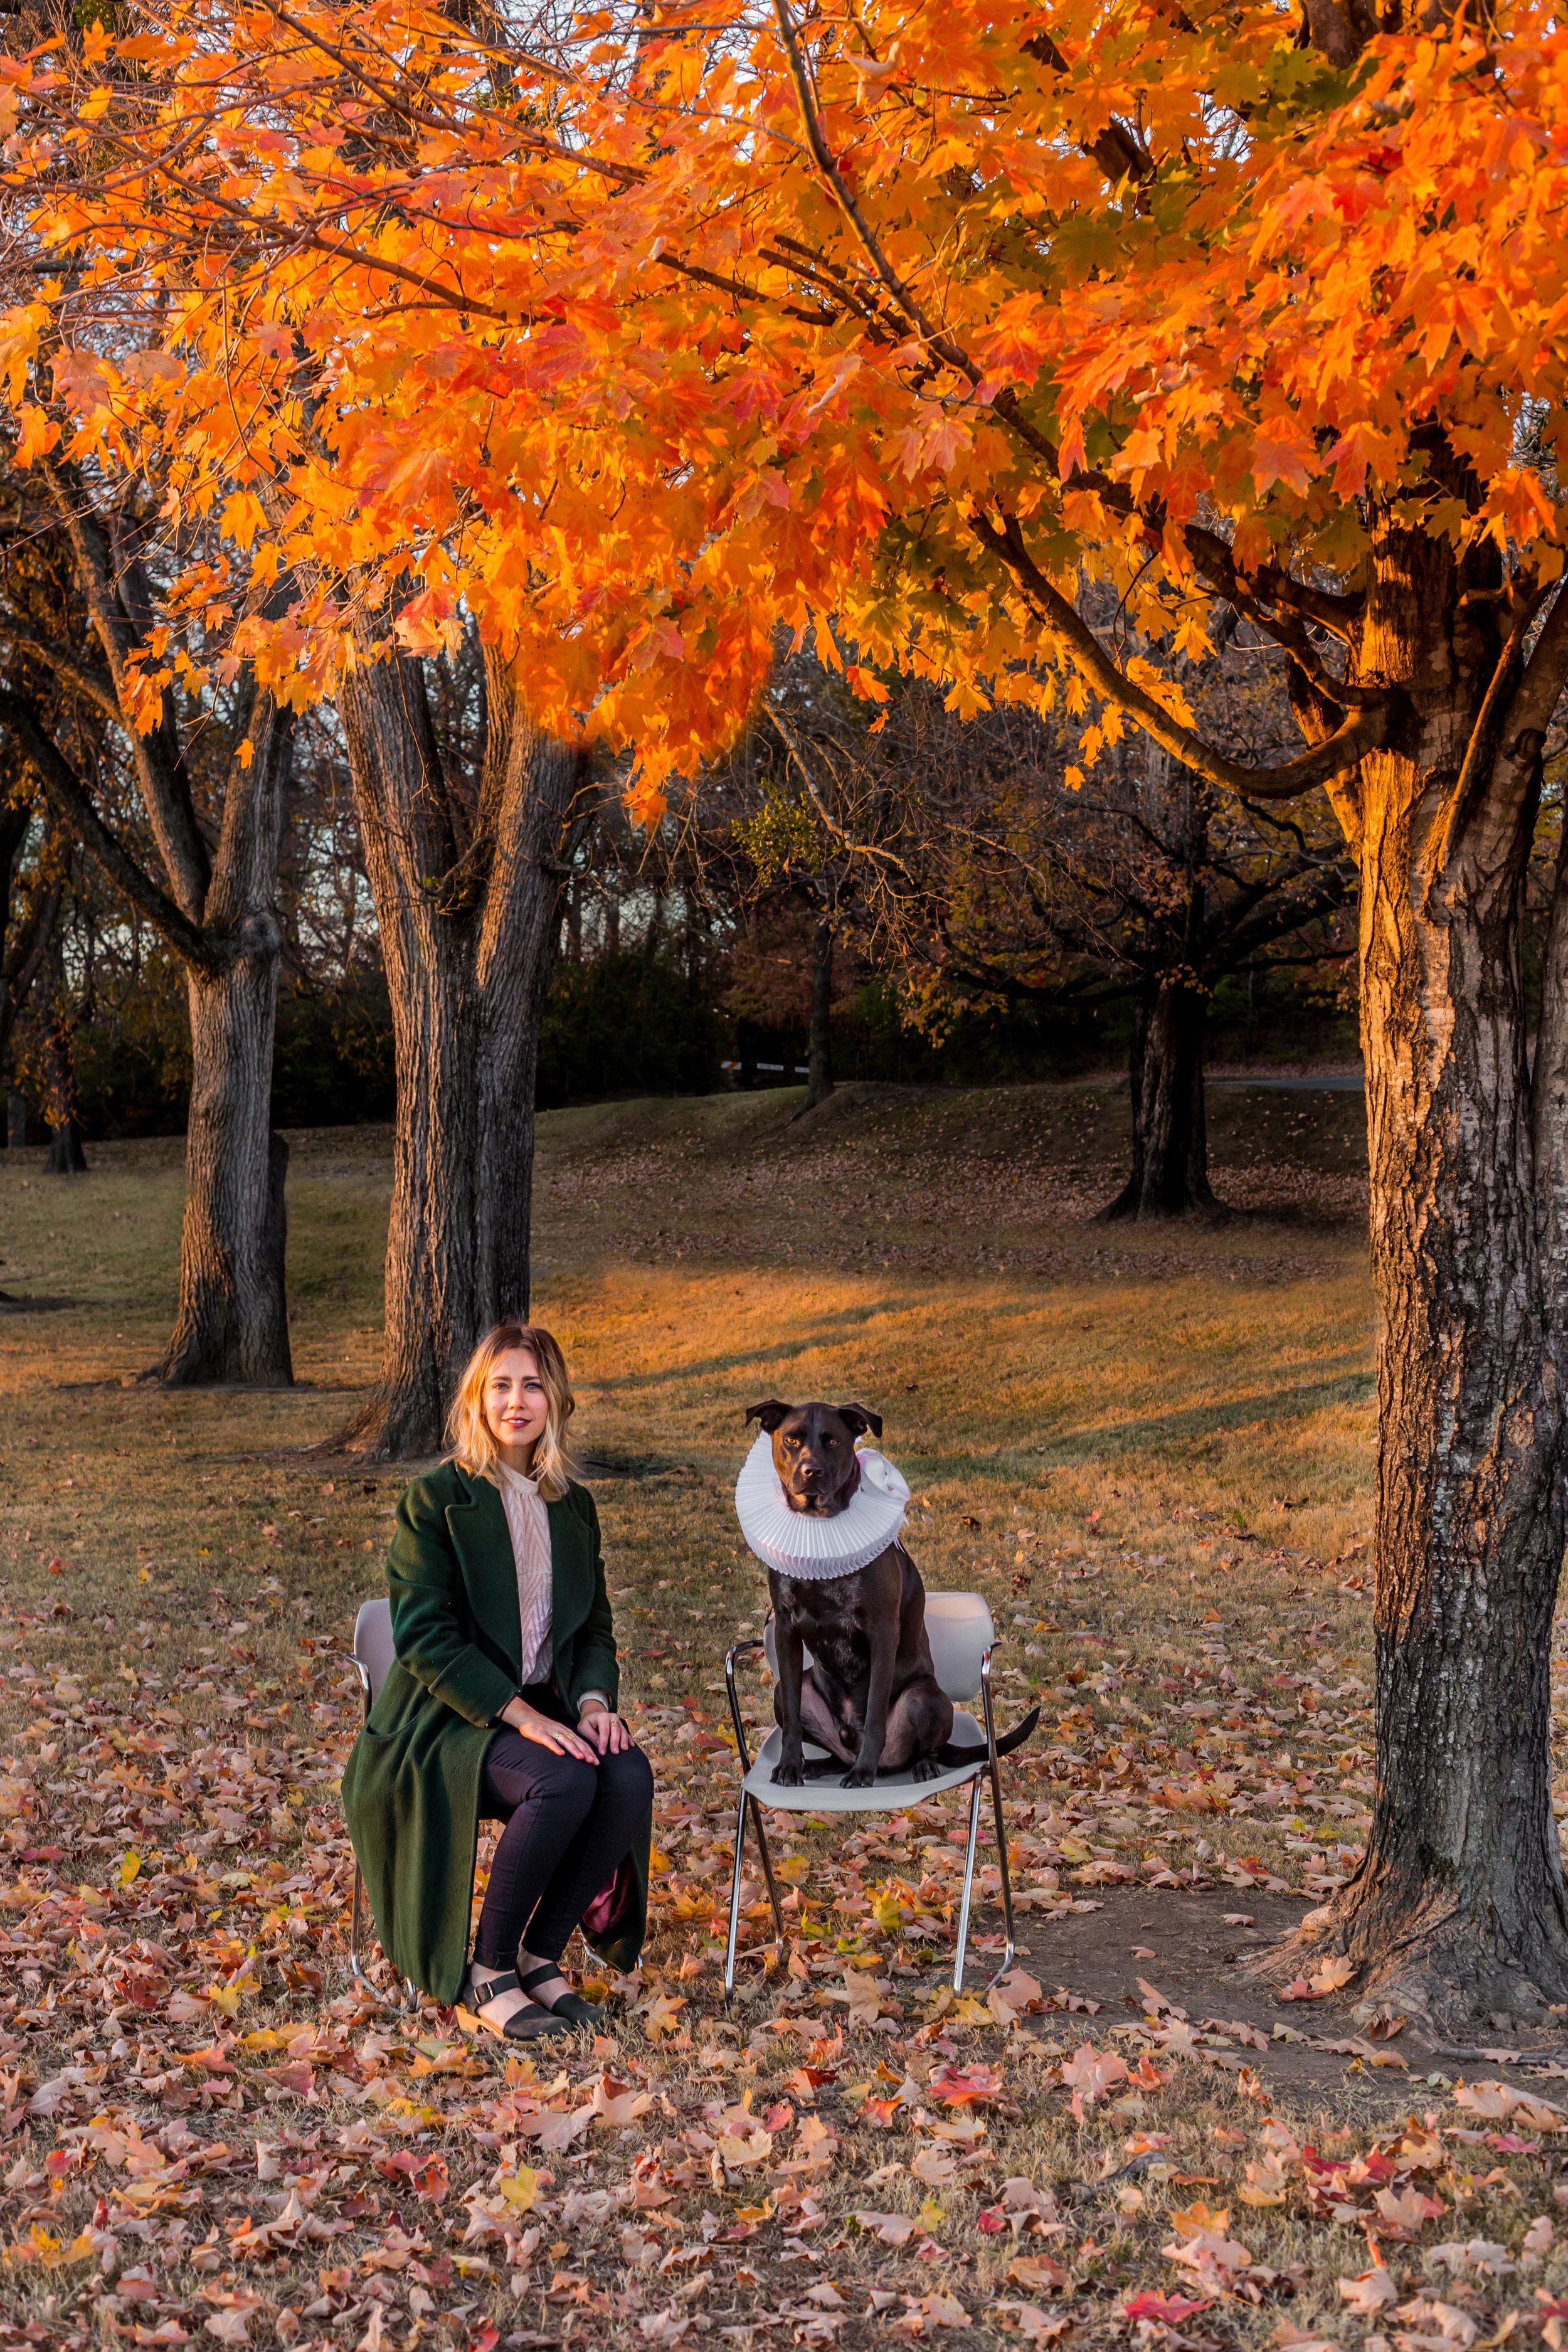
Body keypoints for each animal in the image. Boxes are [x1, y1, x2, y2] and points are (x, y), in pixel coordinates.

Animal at [743, 1392, 1034, 1778]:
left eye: (833, 1441)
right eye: (791, 1439)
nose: (811, 1471)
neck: (820, 1522)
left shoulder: (881, 1630)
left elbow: (876, 1711)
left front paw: (863, 1772)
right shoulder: (786, 1629)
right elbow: (792, 1717)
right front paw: (790, 1765)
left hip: (925, 1698)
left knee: (924, 1746)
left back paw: (912, 1765)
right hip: (791, 1693)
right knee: (825, 1742)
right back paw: (821, 1766)